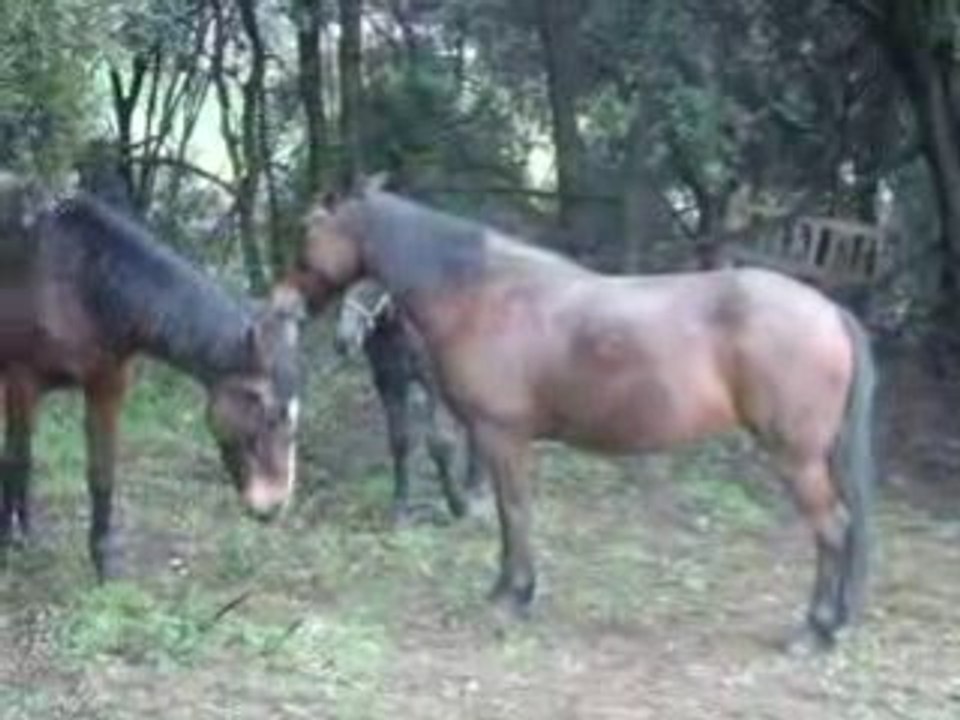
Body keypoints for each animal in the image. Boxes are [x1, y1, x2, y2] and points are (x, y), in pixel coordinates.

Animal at [0, 172, 302, 580]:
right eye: (268, 413)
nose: (272, 506)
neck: (82, 282)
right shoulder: (22, 381)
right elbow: (17, 459)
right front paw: (10, 541)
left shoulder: (107, 386)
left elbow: (101, 473)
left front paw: (104, 566)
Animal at [333, 279, 483, 523]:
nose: (343, 342)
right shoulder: (390, 384)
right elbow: (399, 441)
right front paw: (400, 504)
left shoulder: (432, 383)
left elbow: (438, 443)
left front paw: (457, 504)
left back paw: (476, 483)